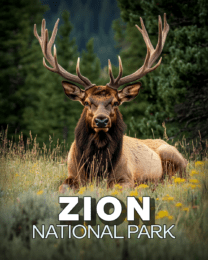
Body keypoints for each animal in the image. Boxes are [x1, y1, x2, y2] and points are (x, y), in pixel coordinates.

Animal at [33, 14, 187, 193]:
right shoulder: (72, 175)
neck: (97, 168)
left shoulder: (126, 178)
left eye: (115, 102)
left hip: (174, 157)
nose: (101, 120)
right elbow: (62, 188)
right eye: (86, 102)